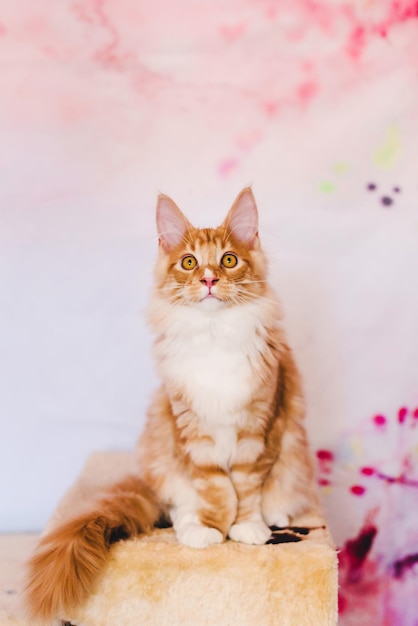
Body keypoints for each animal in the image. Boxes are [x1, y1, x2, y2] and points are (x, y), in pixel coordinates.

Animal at [24, 189, 318, 620]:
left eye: (228, 260)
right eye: (189, 262)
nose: (209, 279)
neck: (214, 335)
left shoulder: (261, 425)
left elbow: (246, 485)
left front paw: (246, 525)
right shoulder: (189, 426)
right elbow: (215, 487)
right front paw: (213, 527)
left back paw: (275, 516)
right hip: (161, 445)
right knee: (176, 502)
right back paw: (193, 526)